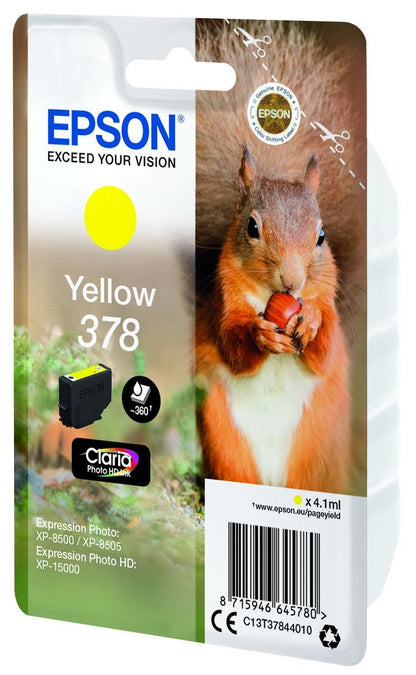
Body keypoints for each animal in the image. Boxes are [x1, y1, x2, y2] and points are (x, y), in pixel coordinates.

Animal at [194, 20, 366, 493]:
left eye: (321, 237)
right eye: (252, 228)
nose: (292, 282)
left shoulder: (327, 299)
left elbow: (325, 349)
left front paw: (310, 321)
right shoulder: (224, 302)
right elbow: (233, 346)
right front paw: (259, 335)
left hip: (316, 449)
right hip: (224, 440)